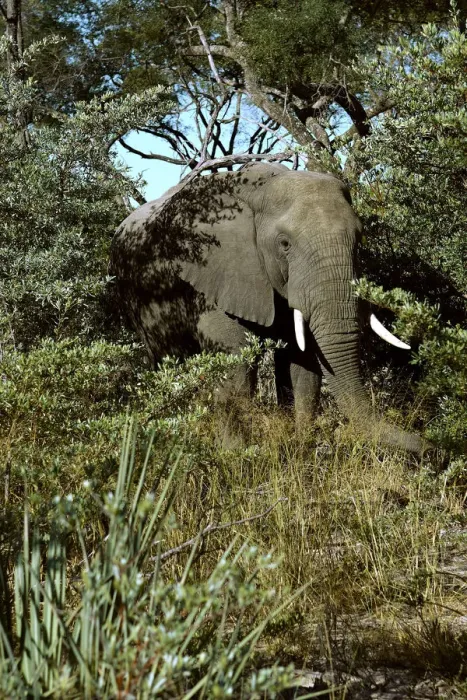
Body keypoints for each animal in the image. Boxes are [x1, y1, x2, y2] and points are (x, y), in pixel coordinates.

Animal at [110, 162, 429, 454]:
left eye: (359, 240)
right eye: (284, 244)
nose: (430, 447)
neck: (263, 188)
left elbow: (301, 363)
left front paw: (301, 452)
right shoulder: (214, 271)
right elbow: (235, 358)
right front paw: (236, 458)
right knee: (167, 361)